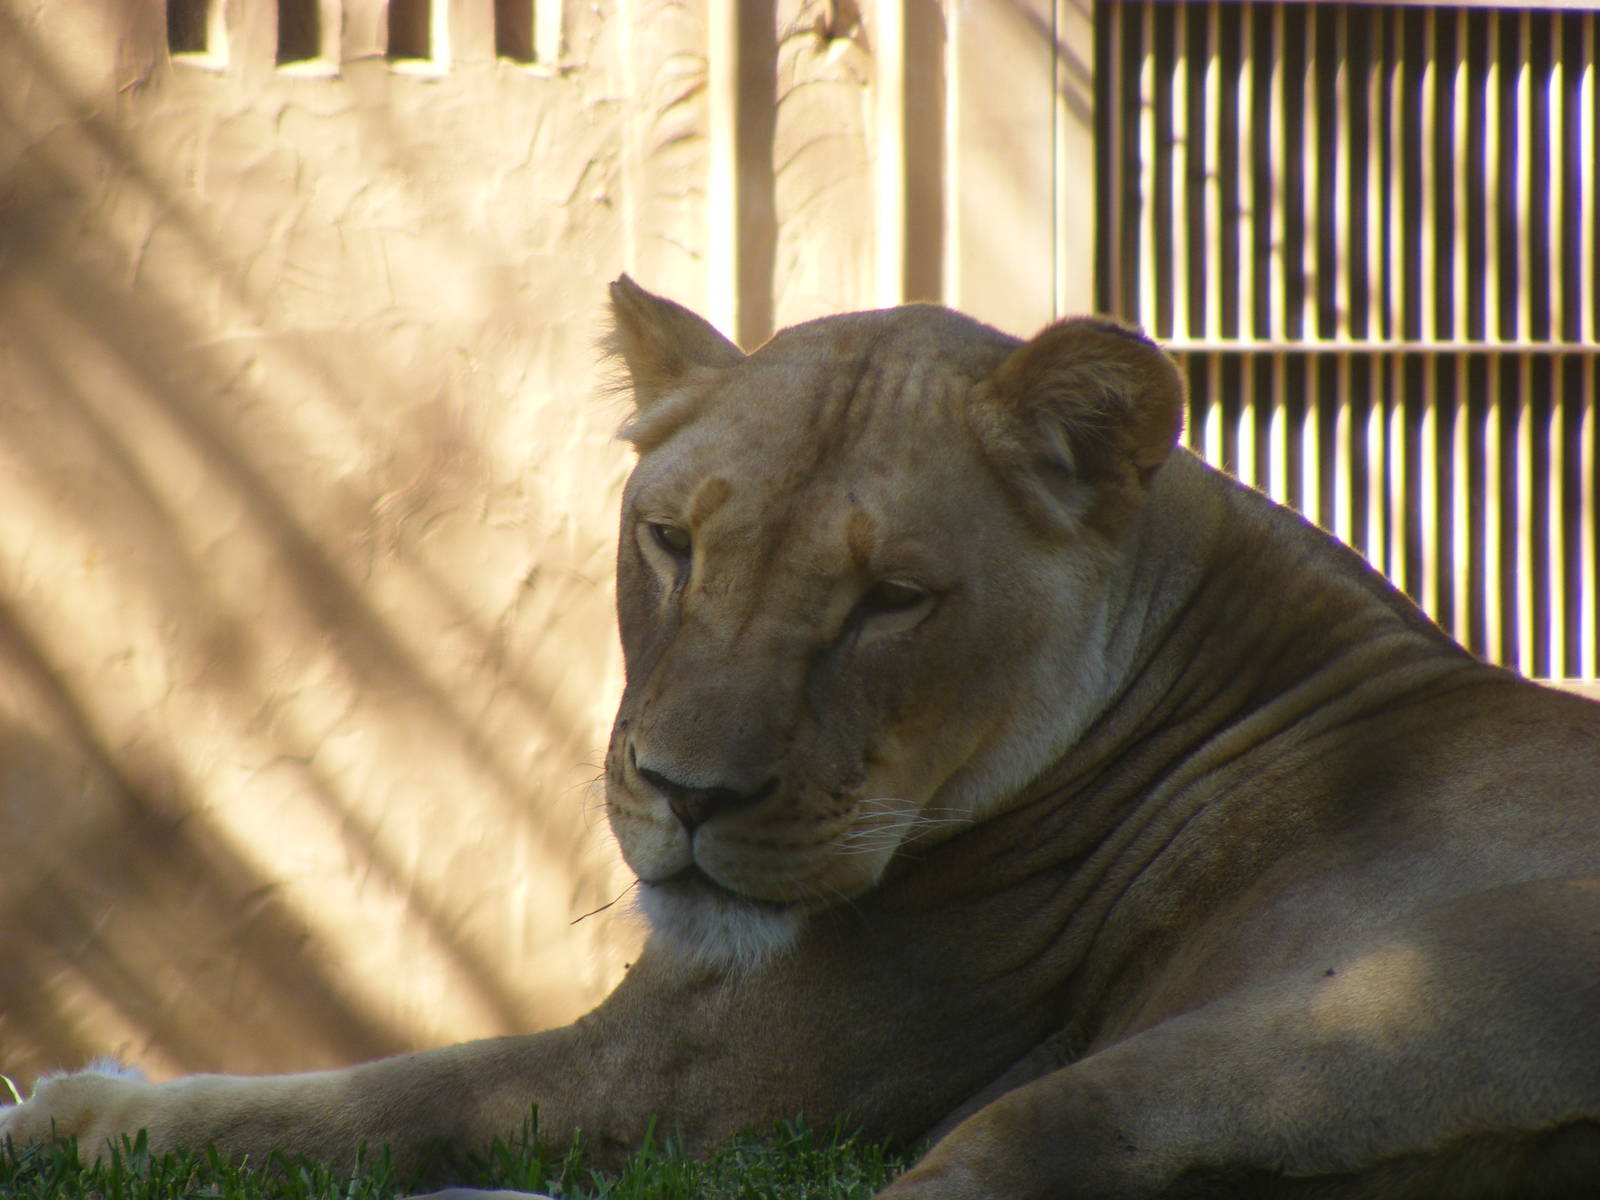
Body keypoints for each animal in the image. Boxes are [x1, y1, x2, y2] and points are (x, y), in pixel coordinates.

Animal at [4, 277, 1599, 1199]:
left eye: (890, 600)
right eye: (670, 545)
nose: (688, 796)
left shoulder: (687, 1086)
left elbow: (381, 1094)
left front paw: (70, 1116)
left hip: (1297, 1032)